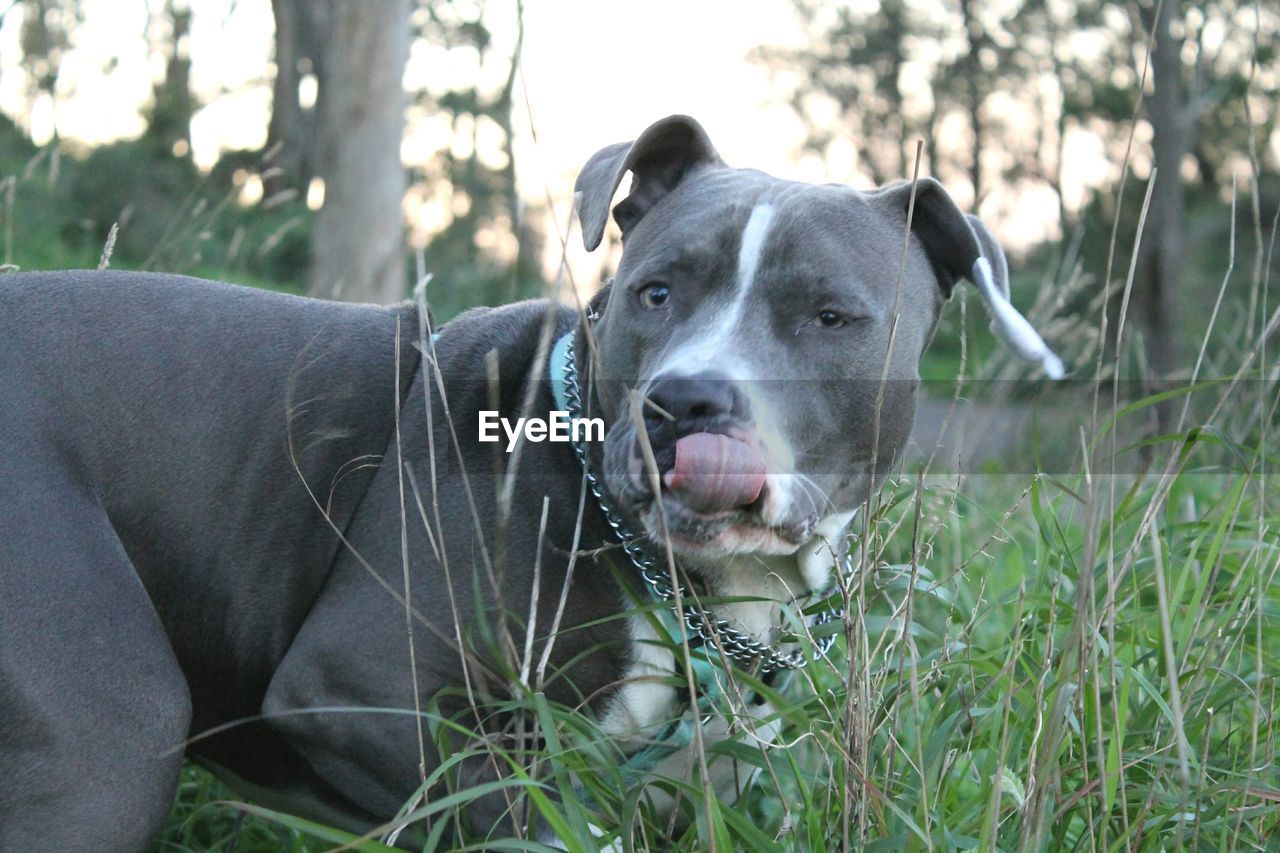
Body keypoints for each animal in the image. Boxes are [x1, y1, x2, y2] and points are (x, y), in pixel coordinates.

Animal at [0, 114, 1059, 850]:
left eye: (829, 316)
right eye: (655, 292)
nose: (685, 400)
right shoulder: (359, 690)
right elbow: (552, 823)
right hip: (108, 727)